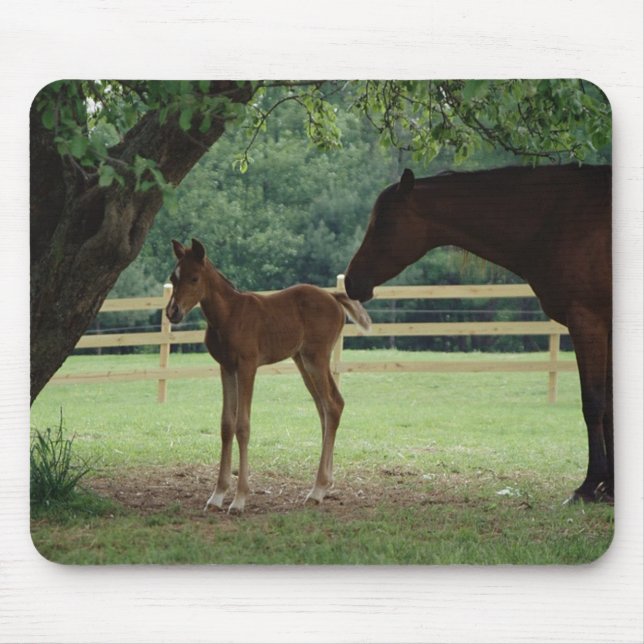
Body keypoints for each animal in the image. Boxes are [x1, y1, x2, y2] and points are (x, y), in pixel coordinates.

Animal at [166, 239, 371, 514]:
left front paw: (239, 499)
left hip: (315, 358)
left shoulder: (247, 366)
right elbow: (226, 425)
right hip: (302, 360)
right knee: (327, 408)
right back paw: (325, 485)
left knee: (331, 405)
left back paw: (317, 490)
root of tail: (332, 295)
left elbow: (242, 426)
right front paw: (217, 496)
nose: (172, 312)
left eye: (194, 278)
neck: (229, 314)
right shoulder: (226, 367)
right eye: (173, 277)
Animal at [344, 164, 612, 504]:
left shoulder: (587, 323)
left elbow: (594, 403)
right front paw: (610, 488)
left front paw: (589, 486)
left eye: (382, 223)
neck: (562, 217)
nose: (351, 281)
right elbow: (610, 407)